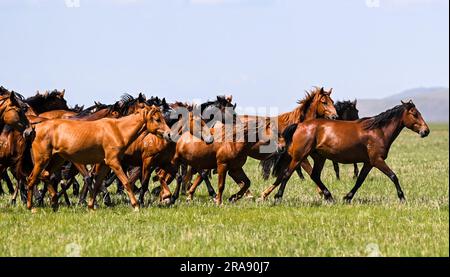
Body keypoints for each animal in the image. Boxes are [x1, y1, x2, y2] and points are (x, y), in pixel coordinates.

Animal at [25, 104, 172, 211]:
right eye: (157, 119)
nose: (169, 134)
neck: (117, 130)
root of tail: (35, 127)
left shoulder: (105, 164)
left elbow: (97, 184)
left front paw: (91, 206)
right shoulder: (113, 162)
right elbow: (126, 182)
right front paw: (136, 206)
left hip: (57, 159)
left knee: (45, 175)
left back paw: (54, 202)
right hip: (42, 159)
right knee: (31, 179)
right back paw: (31, 207)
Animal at [262, 100, 430, 202]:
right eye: (414, 114)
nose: (426, 131)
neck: (378, 130)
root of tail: (299, 125)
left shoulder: (369, 162)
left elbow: (360, 180)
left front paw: (347, 197)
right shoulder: (377, 160)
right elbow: (393, 176)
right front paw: (402, 198)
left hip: (319, 158)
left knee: (314, 175)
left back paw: (329, 196)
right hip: (299, 157)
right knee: (287, 174)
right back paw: (277, 197)